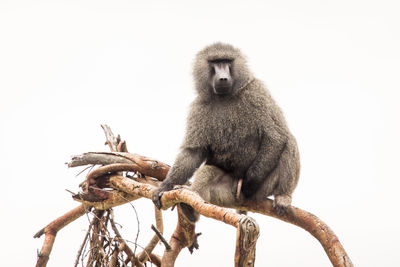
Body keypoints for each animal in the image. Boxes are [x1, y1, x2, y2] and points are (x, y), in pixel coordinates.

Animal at [153, 42, 300, 222]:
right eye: (215, 62)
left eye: (227, 61)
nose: (223, 78)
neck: (224, 96)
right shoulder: (199, 106)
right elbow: (193, 152)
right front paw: (164, 187)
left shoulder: (257, 91)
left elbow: (276, 136)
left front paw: (250, 182)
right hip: (226, 194)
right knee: (208, 172)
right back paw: (189, 208)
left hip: (262, 189)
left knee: (289, 141)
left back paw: (283, 196)